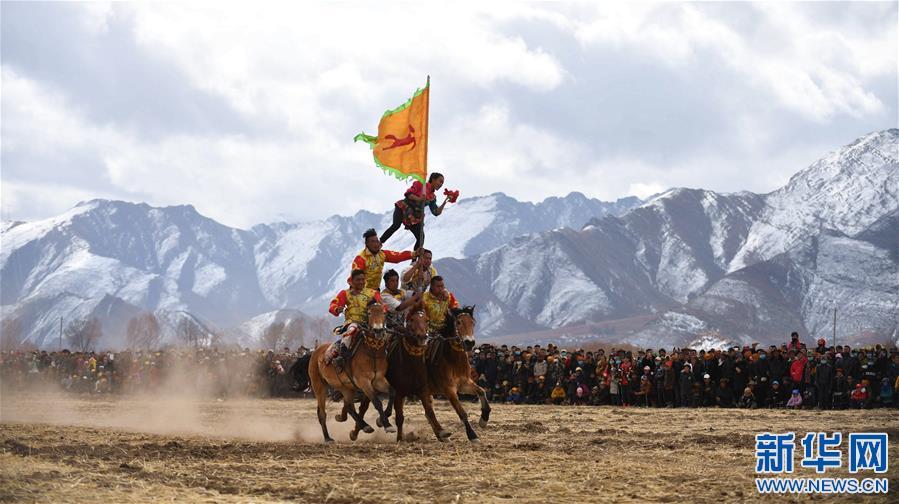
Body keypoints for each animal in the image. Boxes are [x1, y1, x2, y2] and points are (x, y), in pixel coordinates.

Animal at [292, 302, 394, 442]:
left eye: (384, 313)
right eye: (369, 313)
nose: (378, 330)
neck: (372, 351)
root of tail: (314, 352)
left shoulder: (379, 380)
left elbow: (393, 393)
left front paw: (385, 422)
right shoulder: (364, 382)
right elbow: (377, 402)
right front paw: (386, 424)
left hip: (345, 387)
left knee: (349, 406)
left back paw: (360, 424)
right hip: (319, 386)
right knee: (323, 413)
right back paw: (328, 438)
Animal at [352, 308, 450, 440]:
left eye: (427, 320)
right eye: (411, 320)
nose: (423, 337)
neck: (410, 363)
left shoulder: (423, 389)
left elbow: (429, 411)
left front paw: (442, 432)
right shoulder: (398, 392)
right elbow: (399, 417)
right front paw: (398, 437)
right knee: (364, 407)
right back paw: (356, 432)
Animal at [428, 304, 492, 440]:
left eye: (473, 323)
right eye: (458, 322)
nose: (469, 342)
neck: (453, 361)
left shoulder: (464, 384)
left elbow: (482, 391)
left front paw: (484, 419)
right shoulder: (448, 389)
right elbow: (461, 412)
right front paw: (472, 434)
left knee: (428, 411)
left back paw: (441, 434)